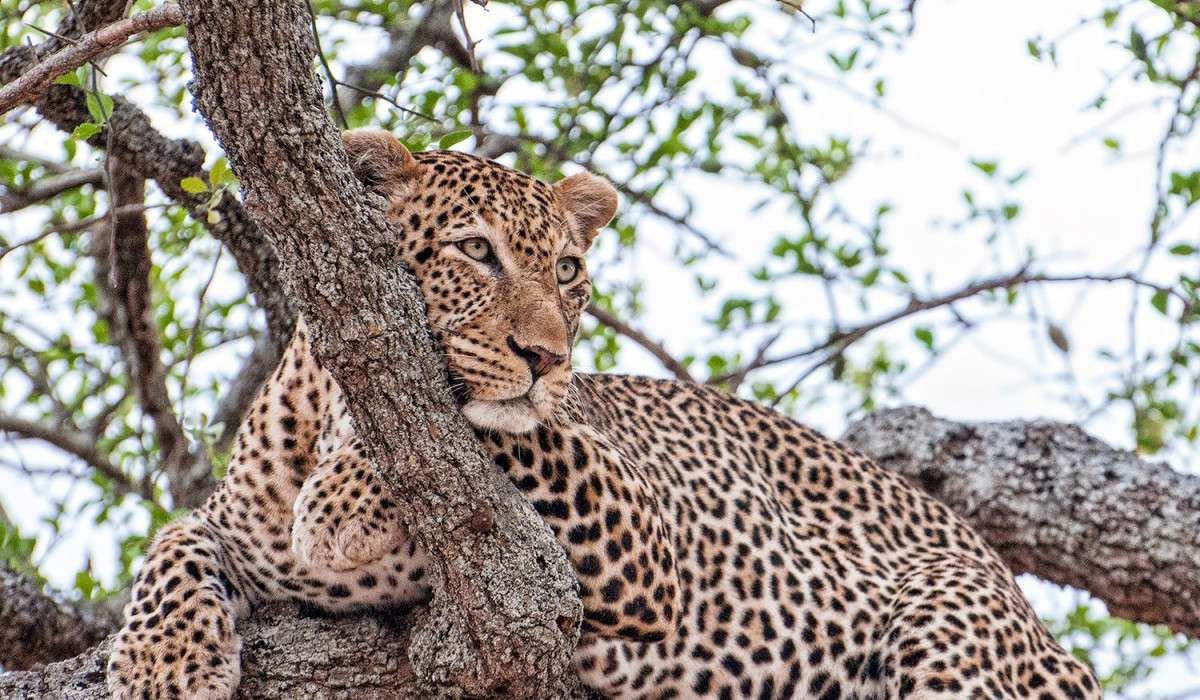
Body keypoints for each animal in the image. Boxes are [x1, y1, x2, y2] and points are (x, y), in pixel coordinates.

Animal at [108, 128, 1099, 696]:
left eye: (568, 271)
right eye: (476, 252)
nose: (548, 358)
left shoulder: (645, 538)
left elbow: (499, 430)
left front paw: (348, 492)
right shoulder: (242, 531)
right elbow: (173, 542)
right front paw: (163, 665)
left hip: (948, 620)